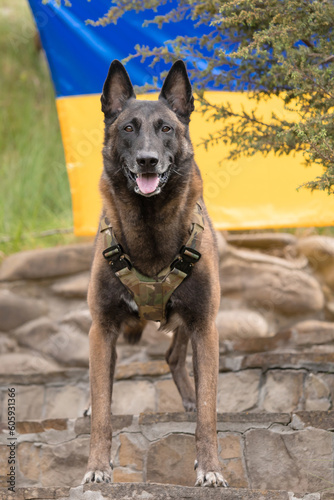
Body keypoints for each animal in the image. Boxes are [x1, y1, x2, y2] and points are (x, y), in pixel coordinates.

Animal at [83, 59, 227, 488]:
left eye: (166, 128)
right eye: (128, 128)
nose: (147, 160)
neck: (150, 229)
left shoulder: (204, 325)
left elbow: (208, 411)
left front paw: (209, 466)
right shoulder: (102, 329)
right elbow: (102, 408)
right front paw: (97, 465)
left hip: (188, 324)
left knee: (173, 356)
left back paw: (188, 398)